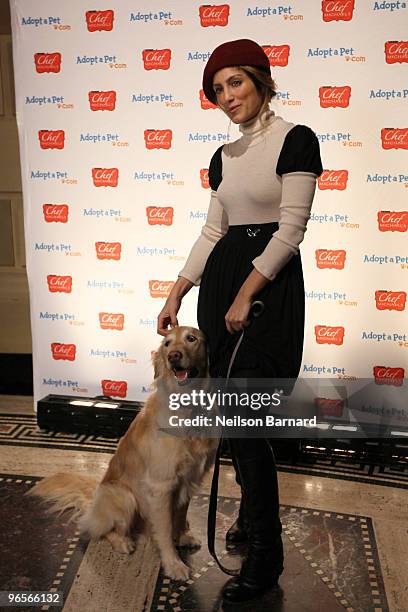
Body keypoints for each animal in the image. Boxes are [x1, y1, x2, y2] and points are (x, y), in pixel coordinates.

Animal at [29, 326, 218, 580]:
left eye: (191, 339)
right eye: (167, 344)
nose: (173, 356)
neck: (188, 407)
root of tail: (93, 500)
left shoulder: (189, 480)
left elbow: (179, 517)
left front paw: (182, 536)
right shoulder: (161, 485)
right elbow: (165, 530)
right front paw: (174, 564)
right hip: (124, 497)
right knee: (98, 529)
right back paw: (122, 542)